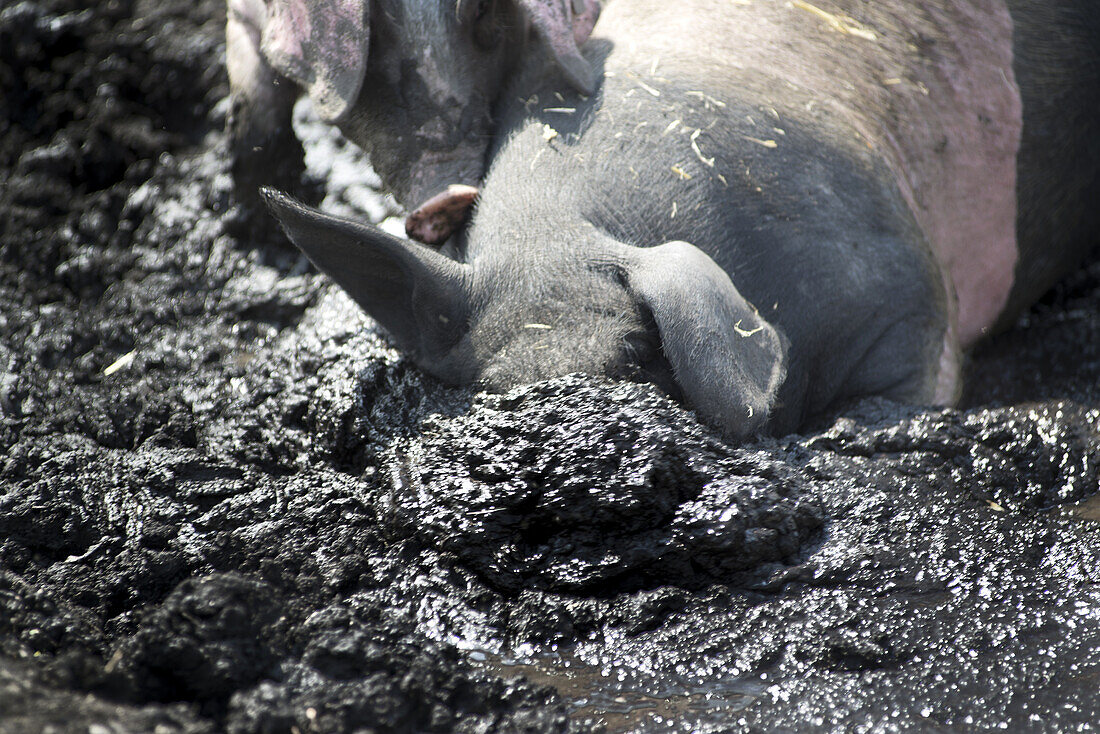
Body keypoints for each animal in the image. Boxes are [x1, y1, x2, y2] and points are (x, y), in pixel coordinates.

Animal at [225, 0, 602, 246]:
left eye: (481, 8)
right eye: (373, 28)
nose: (450, 197)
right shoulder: (242, 14)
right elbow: (258, 117)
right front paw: (254, 231)